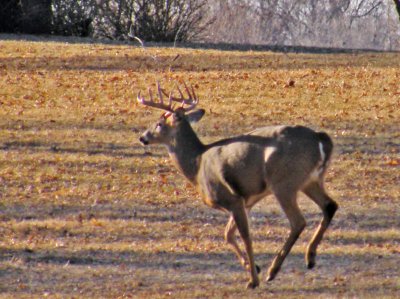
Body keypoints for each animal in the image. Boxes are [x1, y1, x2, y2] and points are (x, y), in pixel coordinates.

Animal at [137, 81, 338, 288]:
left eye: (159, 123)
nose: (142, 137)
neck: (197, 165)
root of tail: (320, 139)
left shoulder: (231, 198)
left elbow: (245, 236)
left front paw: (253, 279)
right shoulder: (243, 202)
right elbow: (228, 234)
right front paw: (253, 267)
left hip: (284, 182)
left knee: (298, 221)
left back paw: (273, 271)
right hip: (311, 180)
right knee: (330, 205)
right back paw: (310, 258)